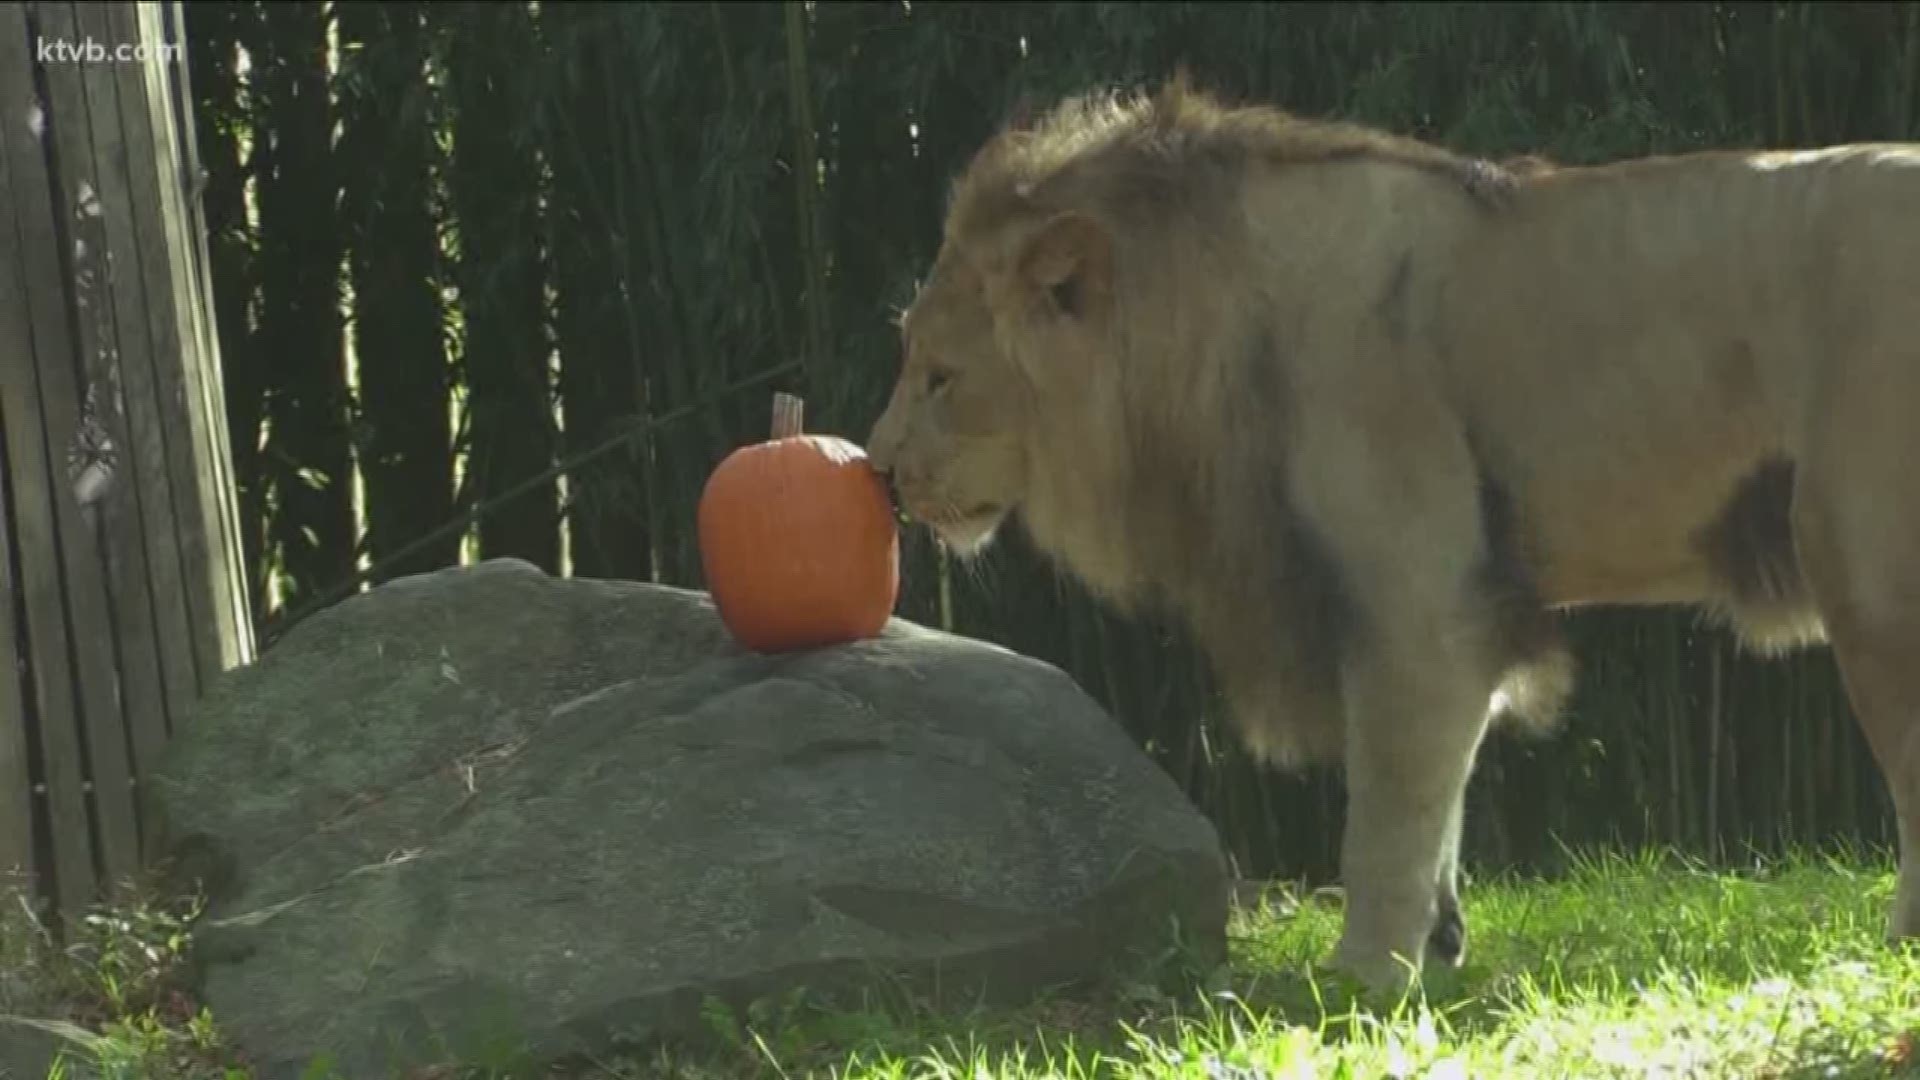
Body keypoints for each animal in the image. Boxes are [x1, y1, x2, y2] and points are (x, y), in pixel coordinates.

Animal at [867, 75, 1920, 999]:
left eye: (941, 376)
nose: (878, 469)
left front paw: (1364, 975)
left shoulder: (1418, 600)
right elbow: (1439, 803)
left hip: (1868, 572)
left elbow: (1387, 802)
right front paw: (1440, 948)